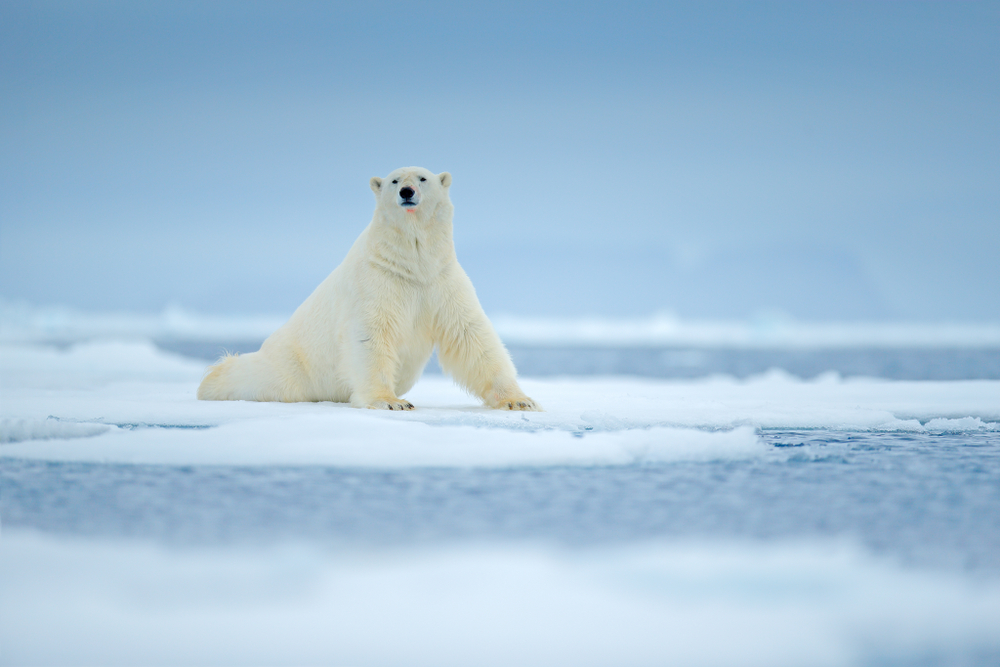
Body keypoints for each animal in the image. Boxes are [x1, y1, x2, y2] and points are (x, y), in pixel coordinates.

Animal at [196, 167, 540, 412]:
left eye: (423, 178)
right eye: (394, 180)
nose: (406, 191)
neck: (411, 264)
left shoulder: (442, 281)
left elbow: (471, 335)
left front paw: (520, 400)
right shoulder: (377, 281)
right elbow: (371, 335)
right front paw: (392, 401)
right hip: (293, 364)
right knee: (257, 376)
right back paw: (211, 378)